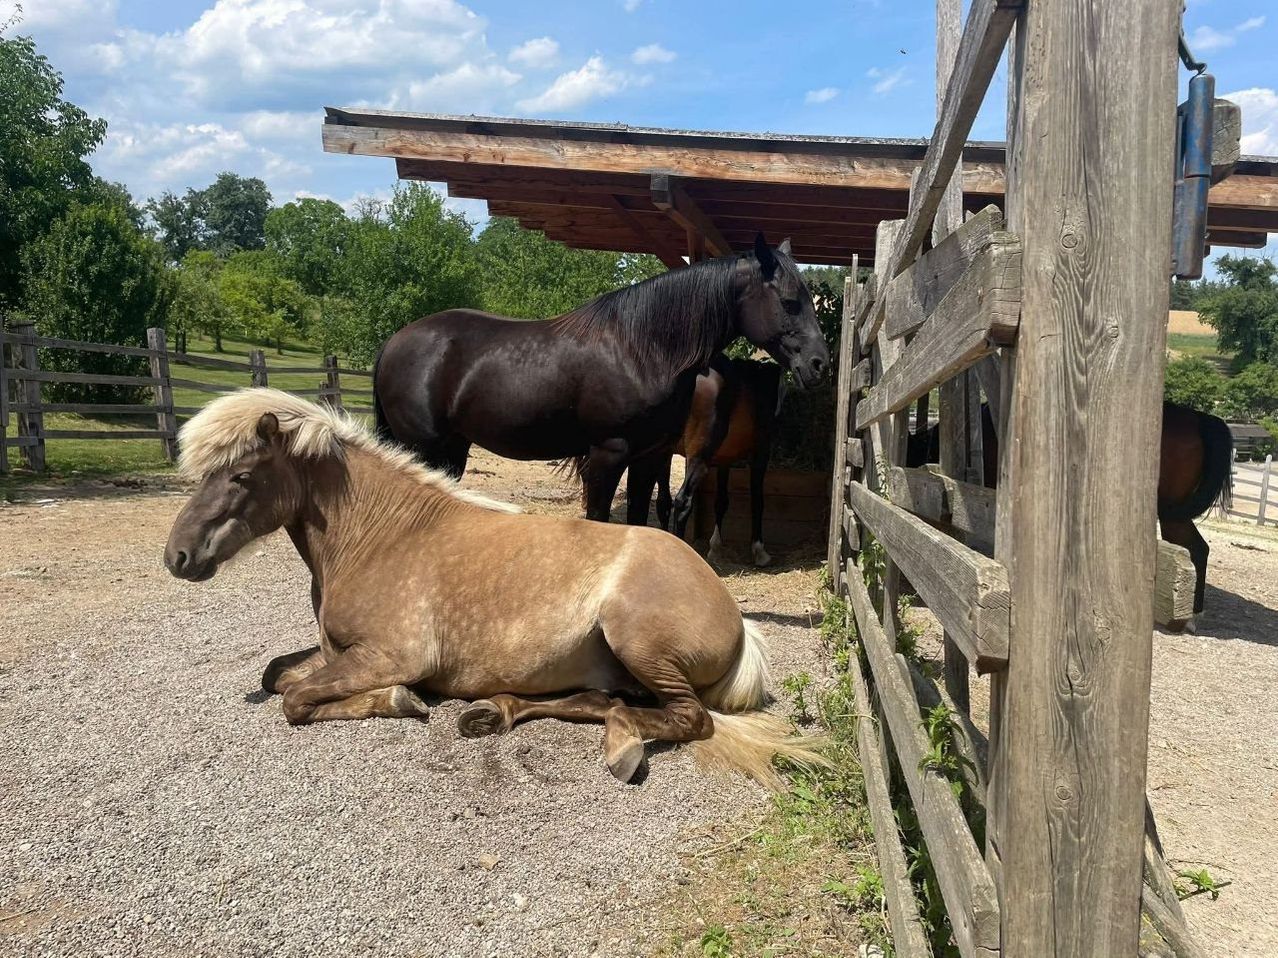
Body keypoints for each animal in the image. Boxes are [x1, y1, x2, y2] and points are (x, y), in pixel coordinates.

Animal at [163, 389, 825, 787]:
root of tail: (738, 619)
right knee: (597, 701)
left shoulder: (389, 656)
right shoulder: (335, 652)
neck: (384, 536)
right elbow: (277, 673)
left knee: (685, 718)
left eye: (241, 475)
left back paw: (621, 747)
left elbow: (296, 699)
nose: (178, 556)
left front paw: (399, 701)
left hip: (638, 642)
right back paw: (493, 713)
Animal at [372, 235, 829, 524]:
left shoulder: (650, 458)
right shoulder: (608, 455)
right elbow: (600, 521)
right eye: (790, 302)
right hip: (423, 447)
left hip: (453, 448)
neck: (642, 349)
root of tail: (395, 341)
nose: (819, 364)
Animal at [647, 355, 783, 567]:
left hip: (664, 453)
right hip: (698, 461)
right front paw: (759, 551)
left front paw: (715, 548)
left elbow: (721, 501)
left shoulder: (724, 460)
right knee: (682, 502)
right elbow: (758, 500)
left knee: (664, 501)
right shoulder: (760, 455)